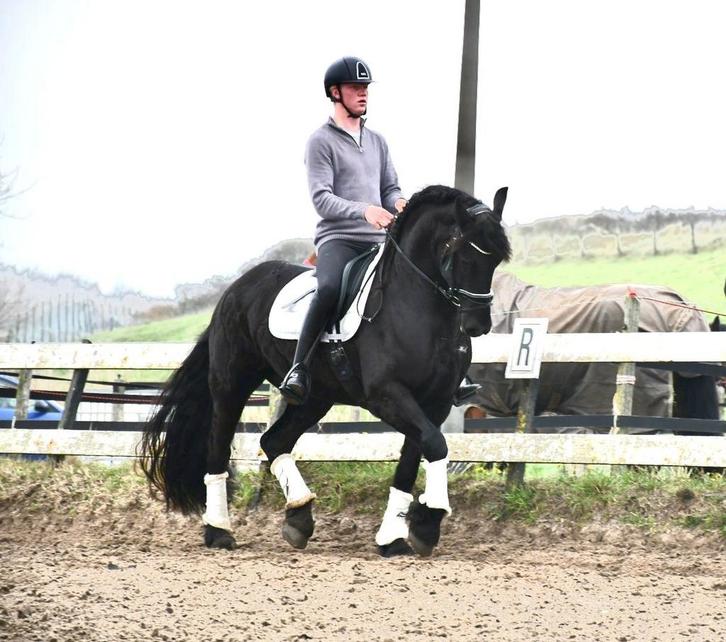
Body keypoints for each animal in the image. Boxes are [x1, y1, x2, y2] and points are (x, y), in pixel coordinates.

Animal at [140, 185, 512, 556]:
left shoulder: (436, 401)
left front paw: (399, 536)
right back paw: (219, 532)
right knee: (218, 450)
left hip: (315, 398)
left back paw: (299, 519)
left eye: (495, 260)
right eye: (465, 256)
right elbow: (435, 444)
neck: (417, 306)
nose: (478, 325)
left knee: (274, 441)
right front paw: (427, 520)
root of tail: (234, 289)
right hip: (232, 386)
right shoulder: (386, 395)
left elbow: (415, 458)